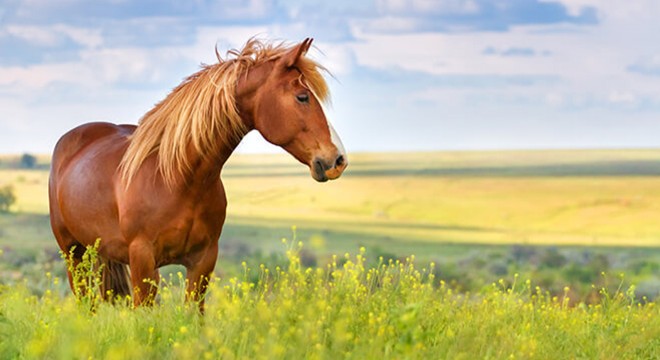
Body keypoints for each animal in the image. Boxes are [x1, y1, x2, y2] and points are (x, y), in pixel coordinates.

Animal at [49, 38, 348, 310]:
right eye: (302, 97)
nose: (338, 160)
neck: (177, 179)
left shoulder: (203, 261)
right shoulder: (143, 261)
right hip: (73, 254)